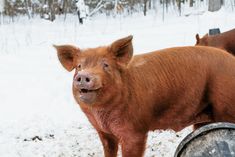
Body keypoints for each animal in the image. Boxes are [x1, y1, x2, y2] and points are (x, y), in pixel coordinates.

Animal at [54, 36, 235, 157]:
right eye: (79, 66)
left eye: (105, 65)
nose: (83, 75)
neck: (102, 114)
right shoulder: (103, 132)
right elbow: (108, 151)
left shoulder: (135, 131)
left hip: (226, 105)